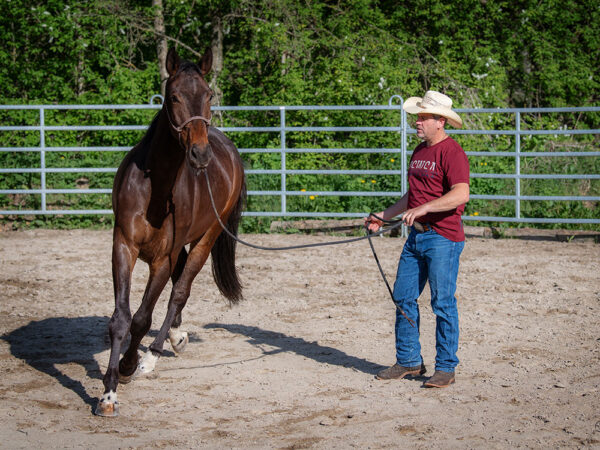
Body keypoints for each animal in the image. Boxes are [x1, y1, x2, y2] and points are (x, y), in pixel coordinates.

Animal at [95, 47, 245, 416]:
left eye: (208, 95)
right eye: (174, 96)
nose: (200, 154)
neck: (156, 186)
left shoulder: (161, 259)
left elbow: (141, 318)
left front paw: (128, 367)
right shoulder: (123, 246)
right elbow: (121, 319)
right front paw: (108, 393)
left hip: (207, 238)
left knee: (180, 292)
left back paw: (152, 355)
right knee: (178, 287)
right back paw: (175, 338)